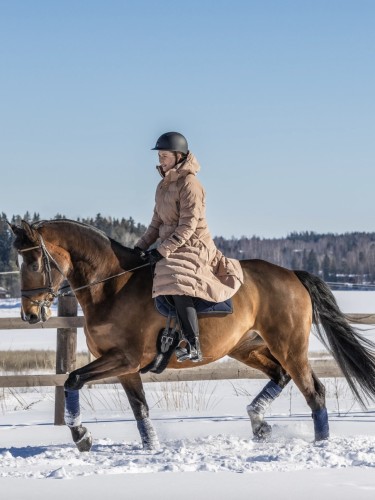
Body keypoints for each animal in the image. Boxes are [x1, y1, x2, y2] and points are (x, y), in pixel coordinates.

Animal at [10, 220, 375, 454]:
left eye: (34, 261)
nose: (29, 314)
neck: (113, 286)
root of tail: (292, 275)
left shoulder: (124, 358)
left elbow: (72, 378)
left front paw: (82, 436)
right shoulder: (126, 368)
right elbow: (139, 408)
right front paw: (151, 448)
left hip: (289, 346)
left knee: (313, 392)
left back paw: (321, 443)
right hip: (247, 347)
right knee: (281, 376)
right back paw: (260, 425)